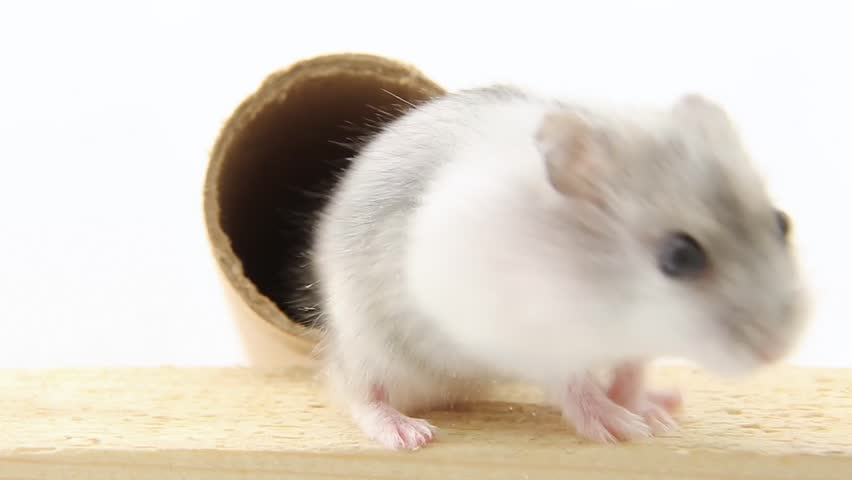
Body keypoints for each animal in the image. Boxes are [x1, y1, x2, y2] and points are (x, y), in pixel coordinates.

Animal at [303, 85, 808, 450]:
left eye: (781, 222)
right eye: (679, 256)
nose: (778, 350)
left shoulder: (632, 343)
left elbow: (631, 371)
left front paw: (654, 414)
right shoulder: (528, 336)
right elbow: (572, 382)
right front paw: (620, 427)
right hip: (369, 338)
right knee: (355, 389)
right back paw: (407, 434)